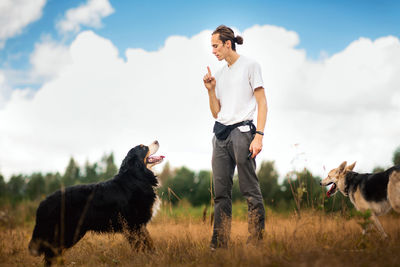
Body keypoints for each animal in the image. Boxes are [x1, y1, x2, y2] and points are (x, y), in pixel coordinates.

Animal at [28, 141, 164, 266]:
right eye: (143, 147)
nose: (157, 141)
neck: (136, 177)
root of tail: (43, 203)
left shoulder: (139, 226)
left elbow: (149, 245)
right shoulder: (134, 225)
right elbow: (142, 246)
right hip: (66, 232)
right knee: (51, 254)